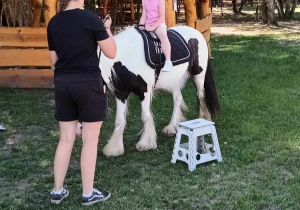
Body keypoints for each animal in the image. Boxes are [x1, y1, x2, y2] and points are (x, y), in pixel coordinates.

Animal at [99, 25, 220, 156]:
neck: (127, 56)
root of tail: (197, 32)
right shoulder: (121, 93)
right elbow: (119, 120)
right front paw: (114, 148)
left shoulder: (144, 91)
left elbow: (145, 116)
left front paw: (146, 143)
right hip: (174, 80)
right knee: (178, 99)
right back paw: (172, 127)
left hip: (199, 75)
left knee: (201, 96)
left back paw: (203, 119)